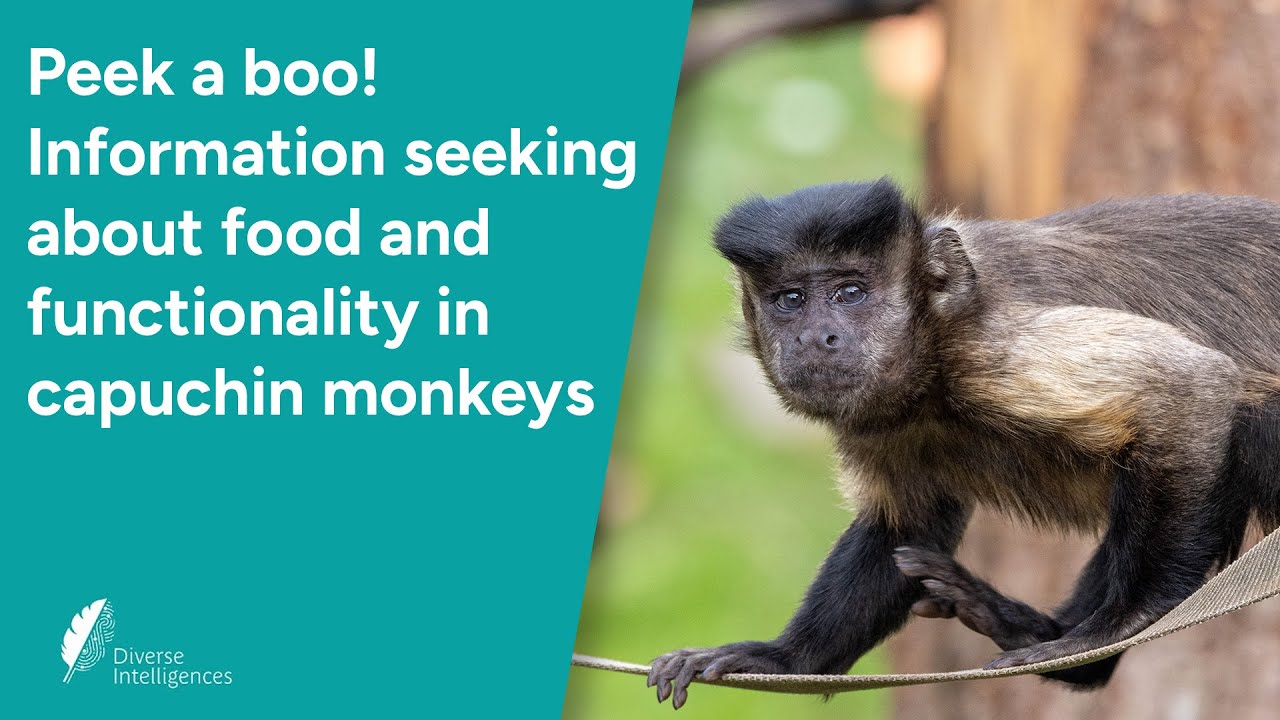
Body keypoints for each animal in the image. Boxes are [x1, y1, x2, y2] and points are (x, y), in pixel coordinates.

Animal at [646, 178, 1280, 709]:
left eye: (851, 293)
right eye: (790, 300)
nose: (814, 338)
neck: (934, 362)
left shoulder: (996, 348)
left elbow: (1190, 387)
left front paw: (1125, 620)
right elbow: (908, 524)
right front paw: (786, 658)